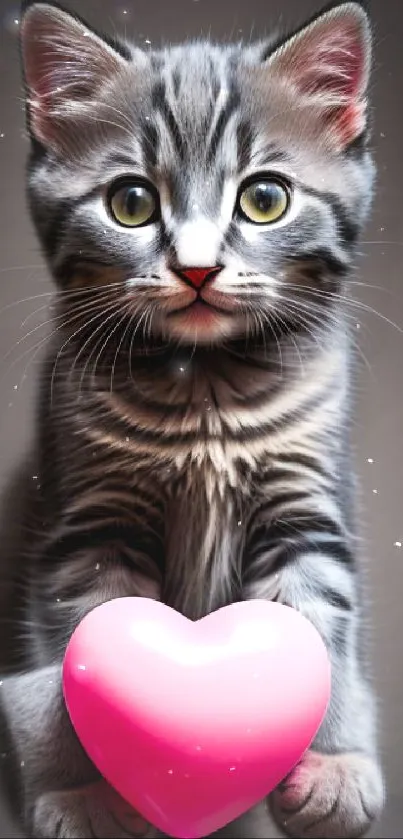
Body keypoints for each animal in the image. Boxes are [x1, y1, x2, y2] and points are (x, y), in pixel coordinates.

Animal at [1, 0, 386, 836]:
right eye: (131, 203)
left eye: (264, 198)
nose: (198, 267)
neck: (205, 389)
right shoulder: (87, 520)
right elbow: (82, 637)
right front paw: (87, 787)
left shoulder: (304, 503)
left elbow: (314, 621)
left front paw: (334, 759)